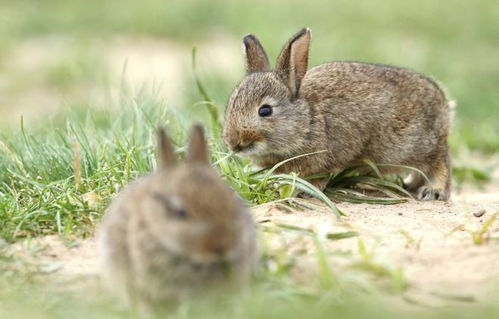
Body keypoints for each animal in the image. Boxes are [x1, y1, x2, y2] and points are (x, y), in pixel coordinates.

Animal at [225, 28, 456, 201]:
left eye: (265, 111)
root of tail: (443, 102)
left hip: (417, 144)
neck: (308, 121)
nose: (233, 142)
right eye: (230, 106)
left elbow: (321, 176)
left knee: (440, 161)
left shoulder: (332, 153)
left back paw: (434, 191)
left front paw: (306, 191)